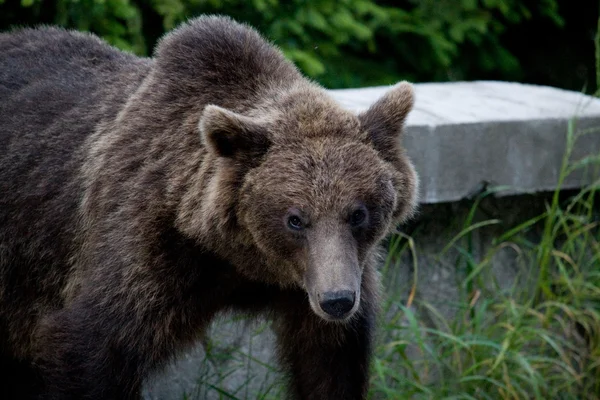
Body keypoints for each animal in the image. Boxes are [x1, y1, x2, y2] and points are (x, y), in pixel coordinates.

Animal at [0, 14, 418, 400]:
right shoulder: (146, 245)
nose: (337, 300)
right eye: (295, 219)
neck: (241, 261)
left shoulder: (333, 278)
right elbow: (93, 345)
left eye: (358, 213)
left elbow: (330, 366)